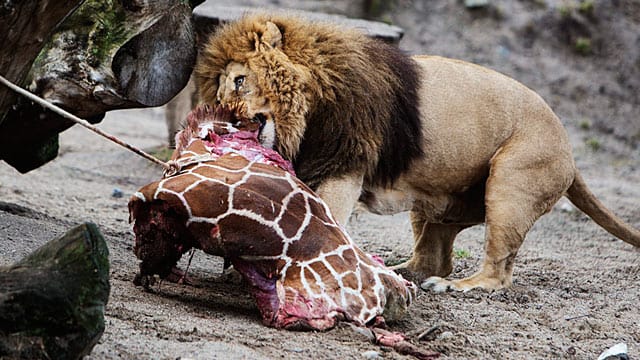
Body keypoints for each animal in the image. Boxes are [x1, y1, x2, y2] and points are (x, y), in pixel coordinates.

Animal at [194, 13, 640, 292]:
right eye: (218, 93)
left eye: (238, 81)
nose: (225, 119)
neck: (307, 110)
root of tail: (570, 149)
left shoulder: (344, 164)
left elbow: (325, 217)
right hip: (437, 201)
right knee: (433, 257)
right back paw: (398, 272)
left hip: (512, 185)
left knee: (496, 271)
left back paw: (456, 286)